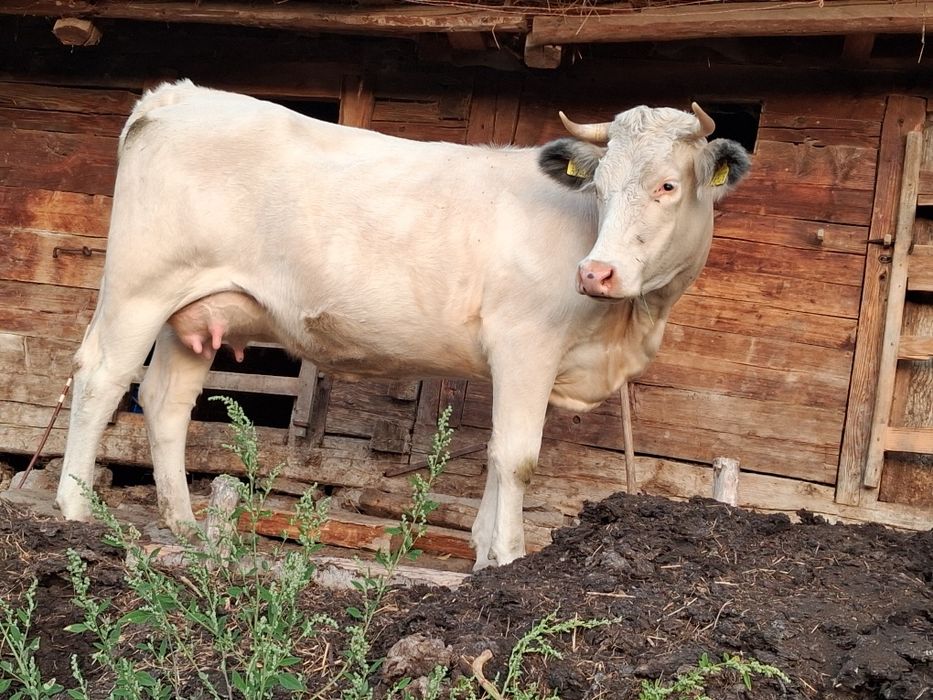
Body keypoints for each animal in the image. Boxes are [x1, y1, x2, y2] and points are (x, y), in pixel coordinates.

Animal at [56, 81, 749, 569]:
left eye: (667, 185)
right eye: (599, 187)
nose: (596, 273)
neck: (629, 327)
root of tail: (177, 96)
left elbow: (494, 454)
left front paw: (482, 553)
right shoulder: (526, 343)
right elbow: (517, 457)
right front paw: (509, 558)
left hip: (194, 312)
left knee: (164, 401)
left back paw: (185, 527)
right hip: (139, 287)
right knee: (101, 379)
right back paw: (74, 509)